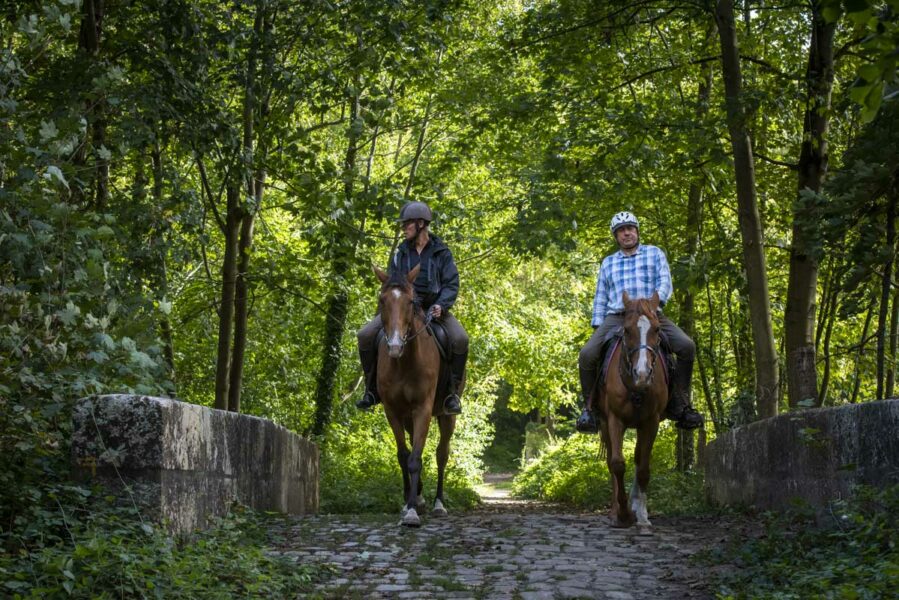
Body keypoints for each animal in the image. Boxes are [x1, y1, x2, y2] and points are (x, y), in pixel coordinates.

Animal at [373, 264, 458, 527]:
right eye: (382, 300)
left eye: (411, 301)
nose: (395, 346)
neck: (404, 362)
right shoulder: (392, 411)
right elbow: (404, 455)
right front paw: (409, 503)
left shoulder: (423, 409)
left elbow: (416, 458)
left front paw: (411, 512)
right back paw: (419, 496)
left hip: (447, 416)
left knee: (442, 454)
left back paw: (438, 504)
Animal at [594, 291, 669, 530]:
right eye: (627, 330)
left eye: (657, 329)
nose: (642, 374)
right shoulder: (614, 419)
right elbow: (617, 464)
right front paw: (623, 514)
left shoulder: (651, 421)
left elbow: (643, 468)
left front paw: (642, 515)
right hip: (604, 424)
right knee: (611, 462)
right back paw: (615, 511)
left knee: (637, 458)